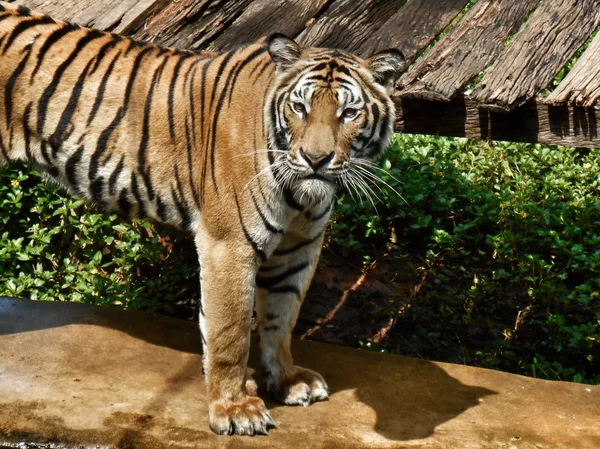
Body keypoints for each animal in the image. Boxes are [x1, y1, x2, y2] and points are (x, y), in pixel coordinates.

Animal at [0, 0, 406, 434]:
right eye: (300, 107)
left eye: (349, 113)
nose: (316, 159)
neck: (300, 194)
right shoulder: (229, 245)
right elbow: (231, 333)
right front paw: (234, 408)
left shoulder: (298, 248)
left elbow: (282, 320)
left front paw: (288, 380)